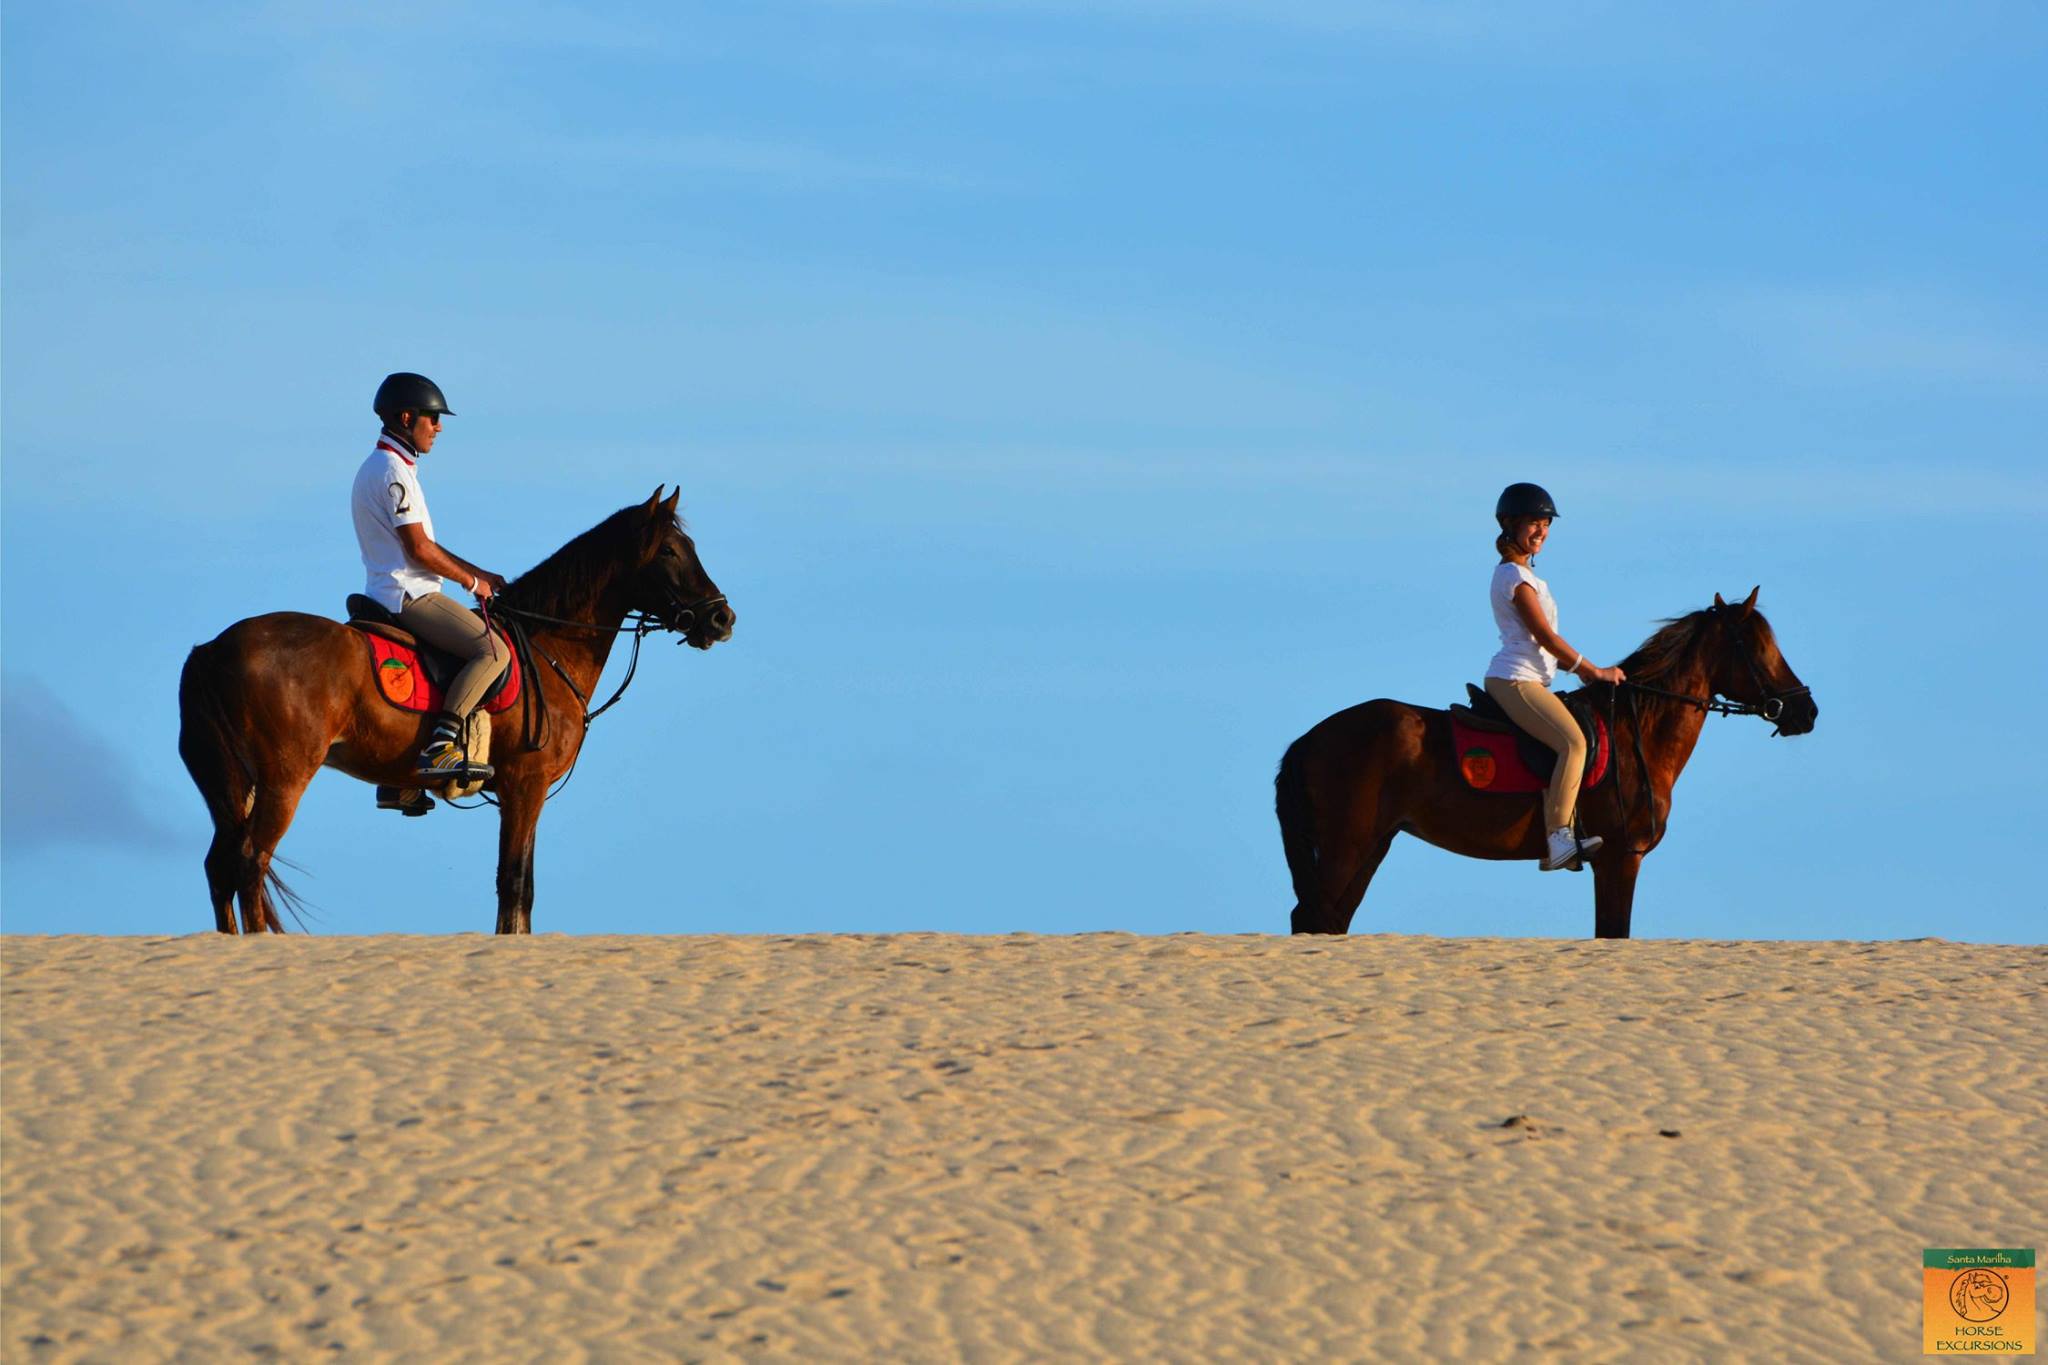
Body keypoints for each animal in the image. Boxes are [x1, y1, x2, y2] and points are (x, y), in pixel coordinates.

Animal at [177, 487, 735, 935]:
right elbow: (515, 885)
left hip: (239, 783)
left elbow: (523, 886)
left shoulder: (522, 792)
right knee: (249, 864)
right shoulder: (525, 785)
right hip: (284, 779)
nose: (722, 618)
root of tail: (213, 648)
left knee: (220, 868)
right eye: (670, 551)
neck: (547, 643)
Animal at [1275, 588, 1817, 939]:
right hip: (1346, 846)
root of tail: (1307, 740)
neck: (1637, 732)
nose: (1805, 711)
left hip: (1373, 846)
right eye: (1759, 648)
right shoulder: (1620, 858)